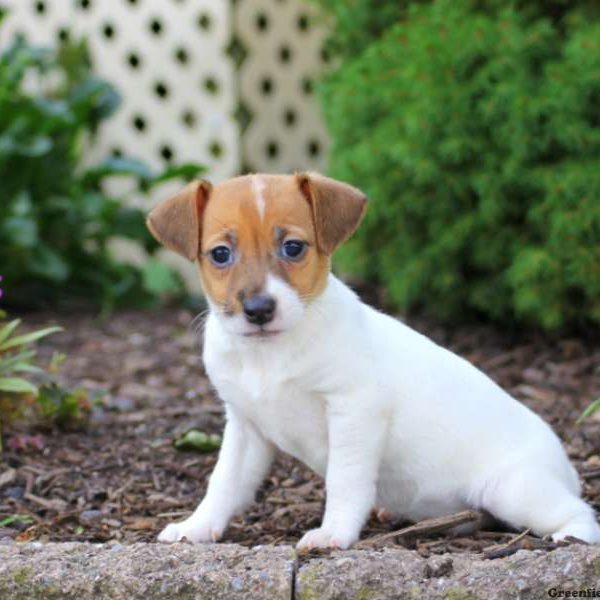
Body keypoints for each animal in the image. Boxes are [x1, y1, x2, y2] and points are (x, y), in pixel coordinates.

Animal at [146, 172, 600, 548]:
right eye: (220, 254)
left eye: (293, 247)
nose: (258, 310)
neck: (270, 354)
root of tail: (568, 469)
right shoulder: (245, 426)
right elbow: (223, 483)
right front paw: (196, 527)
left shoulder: (355, 410)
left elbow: (345, 481)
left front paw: (333, 533)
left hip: (514, 489)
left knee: (580, 514)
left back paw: (571, 538)